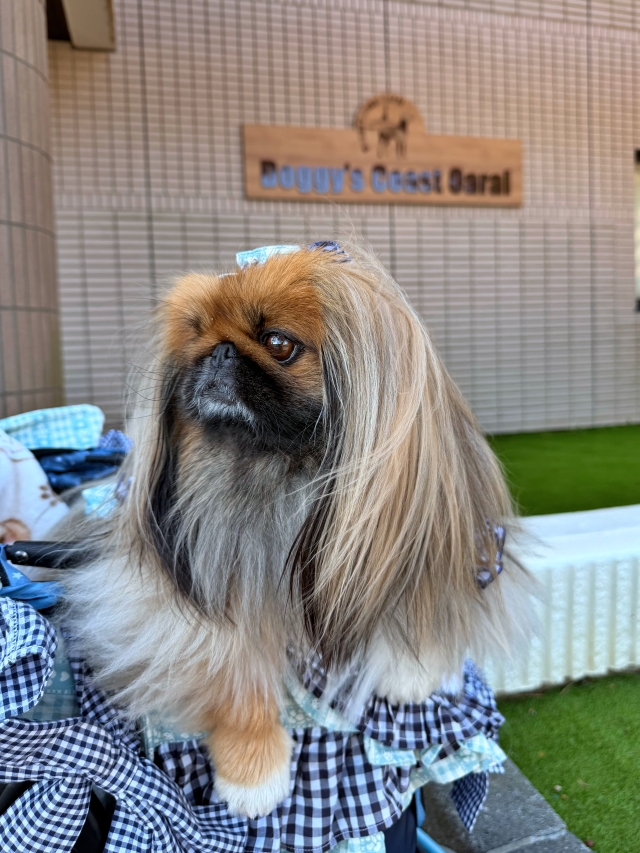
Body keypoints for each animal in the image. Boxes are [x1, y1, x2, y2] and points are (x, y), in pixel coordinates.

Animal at [61, 241, 531, 817]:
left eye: (278, 343)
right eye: (196, 333)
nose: (217, 351)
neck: (284, 472)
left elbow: (404, 605)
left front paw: (411, 670)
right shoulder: (199, 594)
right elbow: (236, 677)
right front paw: (254, 771)